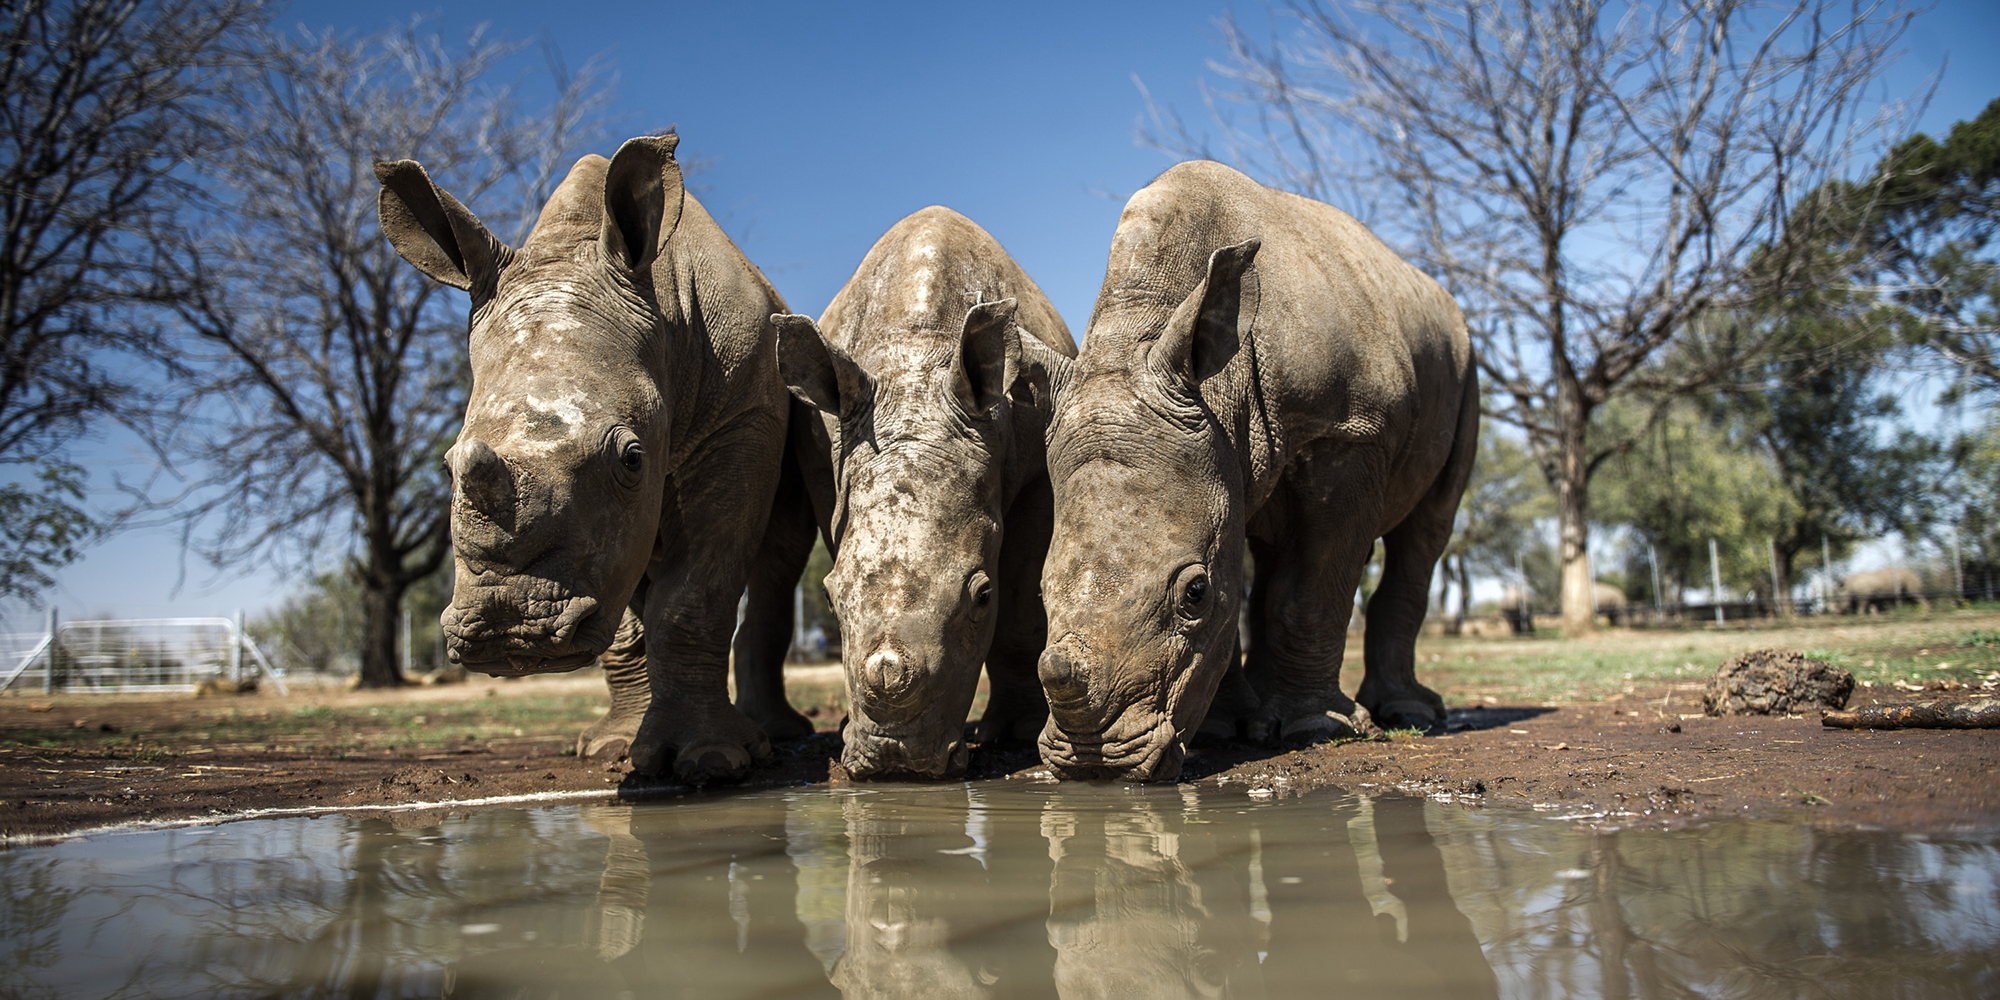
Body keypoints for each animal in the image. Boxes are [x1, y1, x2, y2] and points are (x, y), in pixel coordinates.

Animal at [376, 134, 798, 783]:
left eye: (632, 458)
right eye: (446, 467)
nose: (509, 629)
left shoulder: (742, 418)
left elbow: (694, 593)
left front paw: (711, 762)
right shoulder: (600, 536)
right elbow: (626, 610)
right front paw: (615, 750)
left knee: (779, 554)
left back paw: (772, 737)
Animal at [775, 206, 1076, 779]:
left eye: (982, 597)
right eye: (827, 597)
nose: (896, 760)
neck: (915, 360)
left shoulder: (1034, 472)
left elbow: (1022, 597)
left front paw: (1020, 733)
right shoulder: (829, 468)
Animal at [1035, 161, 1478, 782]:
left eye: (1194, 593)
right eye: (1039, 591)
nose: (1095, 764)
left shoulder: (1349, 430)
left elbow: (1310, 588)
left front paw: (1316, 728)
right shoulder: (1222, 452)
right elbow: (1243, 586)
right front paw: (1223, 730)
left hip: (1465, 362)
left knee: (1427, 529)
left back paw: (1403, 713)